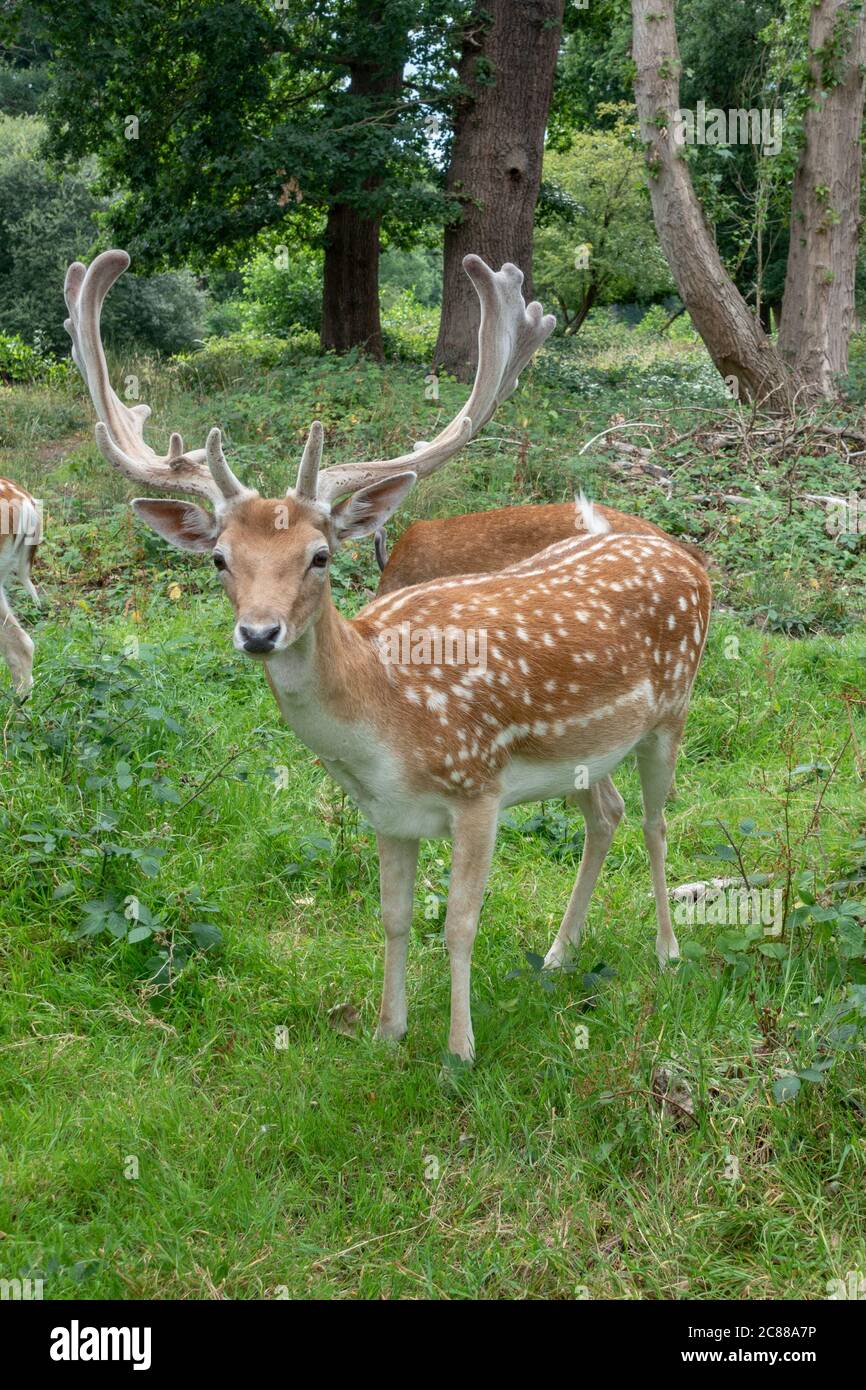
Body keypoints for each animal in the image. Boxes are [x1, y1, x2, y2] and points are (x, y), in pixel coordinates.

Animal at [65, 248, 711, 1062]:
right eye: (219, 559)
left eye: (319, 556)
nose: (259, 633)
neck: (386, 721)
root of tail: (690, 558)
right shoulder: (387, 814)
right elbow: (393, 918)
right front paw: (386, 1032)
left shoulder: (478, 785)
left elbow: (460, 923)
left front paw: (459, 1051)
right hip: (582, 753)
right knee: (609, 811)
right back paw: (560, 953)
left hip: (673, 708)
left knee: (657, 820)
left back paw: (668, 950)